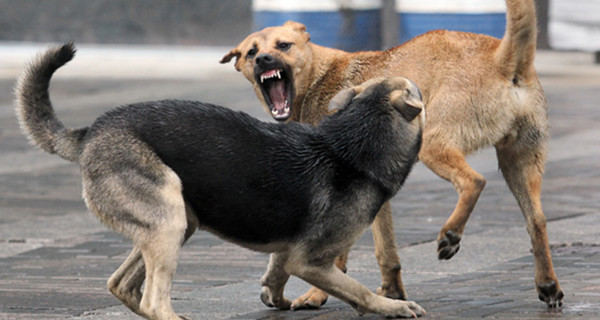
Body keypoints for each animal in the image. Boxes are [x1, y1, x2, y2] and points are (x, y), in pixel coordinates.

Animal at [15, 43, 426, 320]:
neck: (352, 144)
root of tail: (90, 133)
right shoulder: (310, 261)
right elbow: (357, 290)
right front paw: (392, 306)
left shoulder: (290, 249)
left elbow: (276, 274)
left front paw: (276, 299)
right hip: (168, 220)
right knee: (153, 300)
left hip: (177, 222)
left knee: (121, 284)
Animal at [220, 0, 564, 312]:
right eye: (251, 52)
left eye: (284, 45)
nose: (264, 59)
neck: (318, 77)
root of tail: (503, 59)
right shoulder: (376, 193)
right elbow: (386, 251)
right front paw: (392, 294)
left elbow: (337, 255)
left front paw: (317, 295)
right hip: (520, 162)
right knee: (537, 221)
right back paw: (548, 284)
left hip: (434, 145)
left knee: (474, 181)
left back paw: (451, 234)